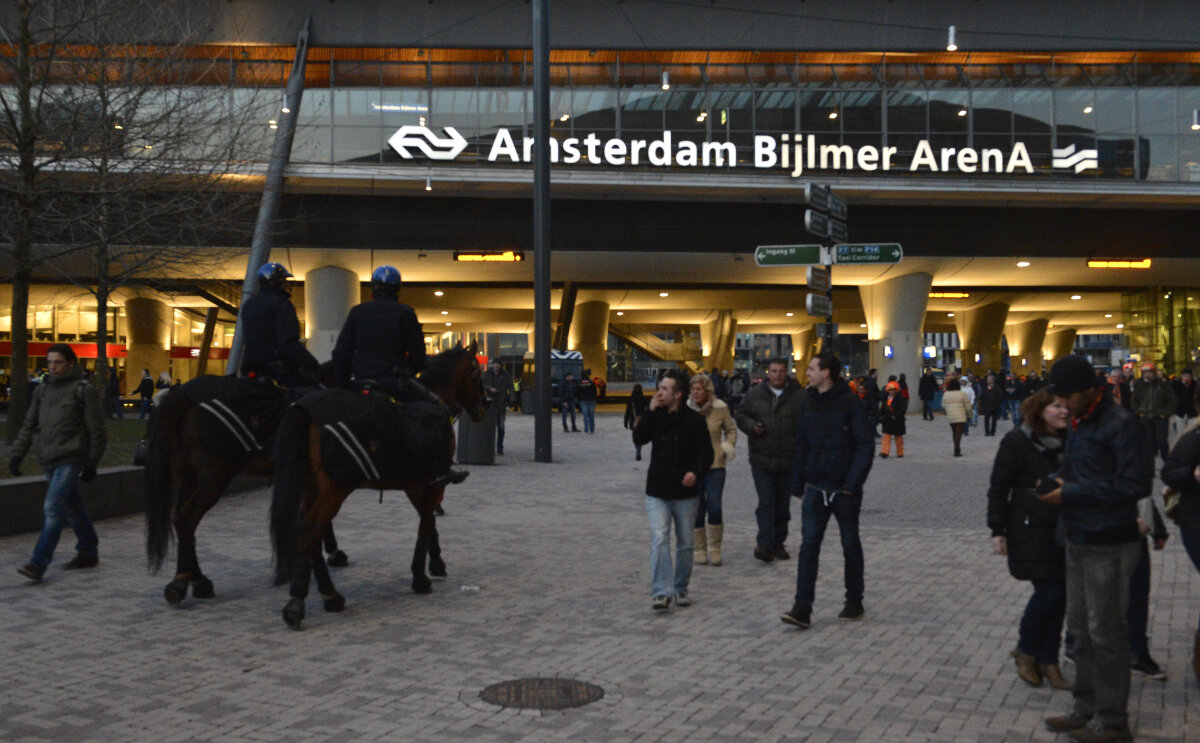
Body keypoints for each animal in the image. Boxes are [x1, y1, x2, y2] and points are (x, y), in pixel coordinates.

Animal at [270, 345, 484, 628]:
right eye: (476, 372)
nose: (484, 406)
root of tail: (305, 407)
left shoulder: (414, 484)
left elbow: (428, 521)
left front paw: (434, 563)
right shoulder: (432, 484)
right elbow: (426, 522)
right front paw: (422, 574)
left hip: (311, 487)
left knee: (309, 532)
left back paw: (329, 595)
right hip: (333, 490)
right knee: (310, 529)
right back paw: (300, 602)